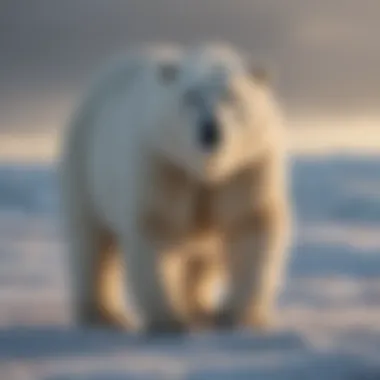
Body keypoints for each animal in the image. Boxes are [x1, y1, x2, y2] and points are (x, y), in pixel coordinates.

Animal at [58, 41, 290, 332]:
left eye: (231, 97)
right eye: (190, 97)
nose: (210, 130)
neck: (205, 171)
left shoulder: (246, 169)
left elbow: (249, 226)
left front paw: (233, 316)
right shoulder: (163, 165)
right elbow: (157, 227)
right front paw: (170, 321)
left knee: (202, 258)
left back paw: (199, 307)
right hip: (86, 167)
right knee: (92, 242)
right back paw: (102, 314)